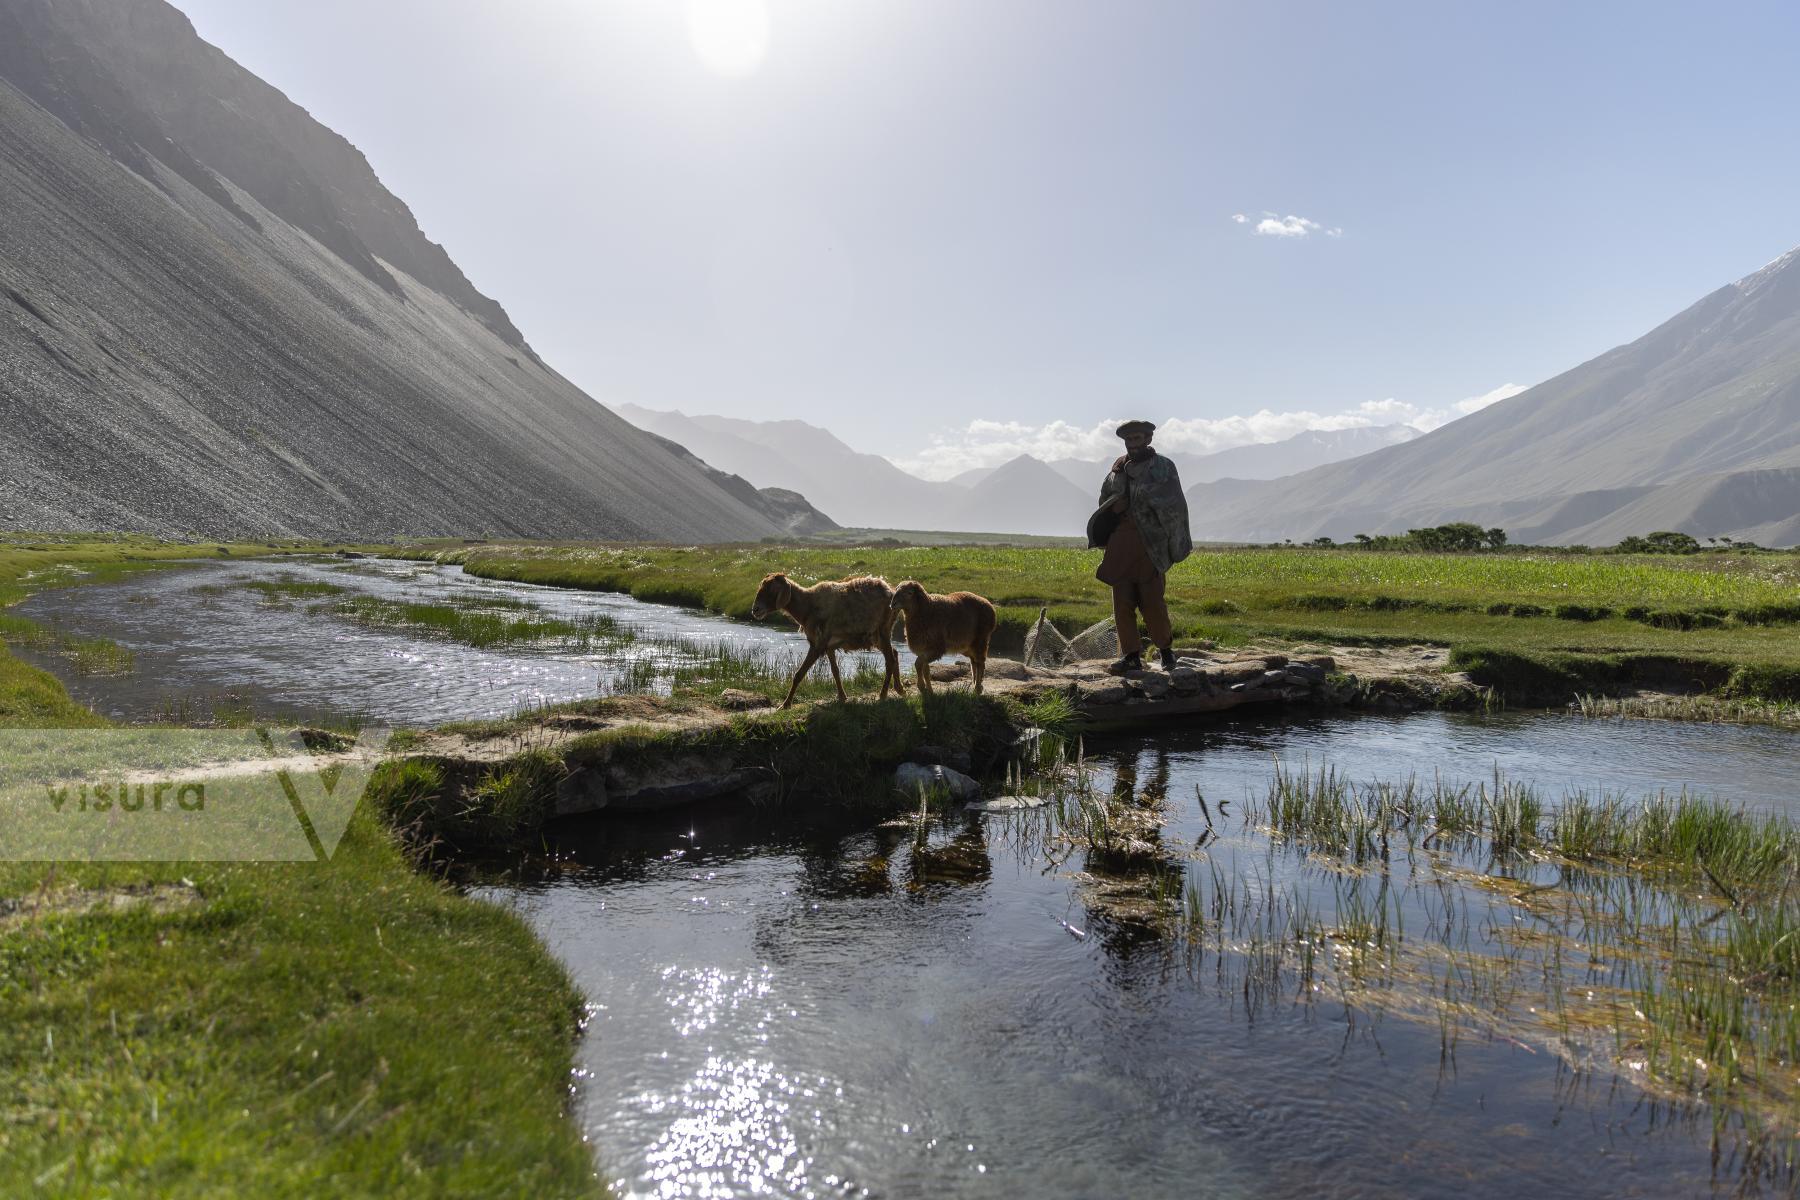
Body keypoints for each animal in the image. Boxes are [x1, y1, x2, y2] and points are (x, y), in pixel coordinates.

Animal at [748, 575, 907, 708]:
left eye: (772, 589)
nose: (755, 610)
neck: (806, 606)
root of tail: (891, 592)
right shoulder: (829, 646)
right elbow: (835, 671)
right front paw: (842, 696)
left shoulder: (818, 644)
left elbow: (799, 674)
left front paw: (785, 704)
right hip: (876, 636)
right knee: (895, 652)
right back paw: (899, 689)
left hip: (882, 630)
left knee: (890, 659)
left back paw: (883, 695)